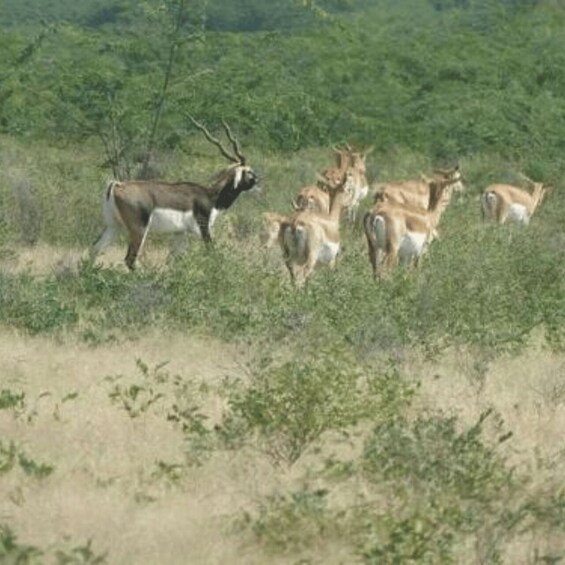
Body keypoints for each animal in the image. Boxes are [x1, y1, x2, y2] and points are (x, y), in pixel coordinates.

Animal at [91, 115, 258, 270]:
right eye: (249, 171)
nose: (258, 180)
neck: (212, 196)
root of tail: (117, 185)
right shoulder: (203, 229)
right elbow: (212, 252)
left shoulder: (181, 233)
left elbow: (173, 261)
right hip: (139, 229)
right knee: (129, 259)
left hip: (114, 226)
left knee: (95, 249)